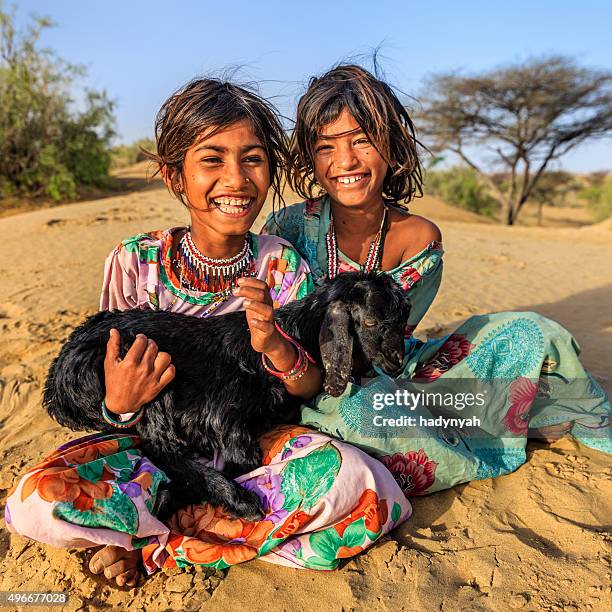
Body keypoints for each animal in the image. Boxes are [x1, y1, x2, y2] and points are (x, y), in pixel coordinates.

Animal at [44, 272, 412, 520]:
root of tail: (56, 380)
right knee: (158, 445)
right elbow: (242, 457)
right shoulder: (223, 416)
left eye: (403, 318)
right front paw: (232, 496)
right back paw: (234, 500)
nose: (396, 361)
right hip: (148, 375)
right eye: (370, 321)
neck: (296, 334)